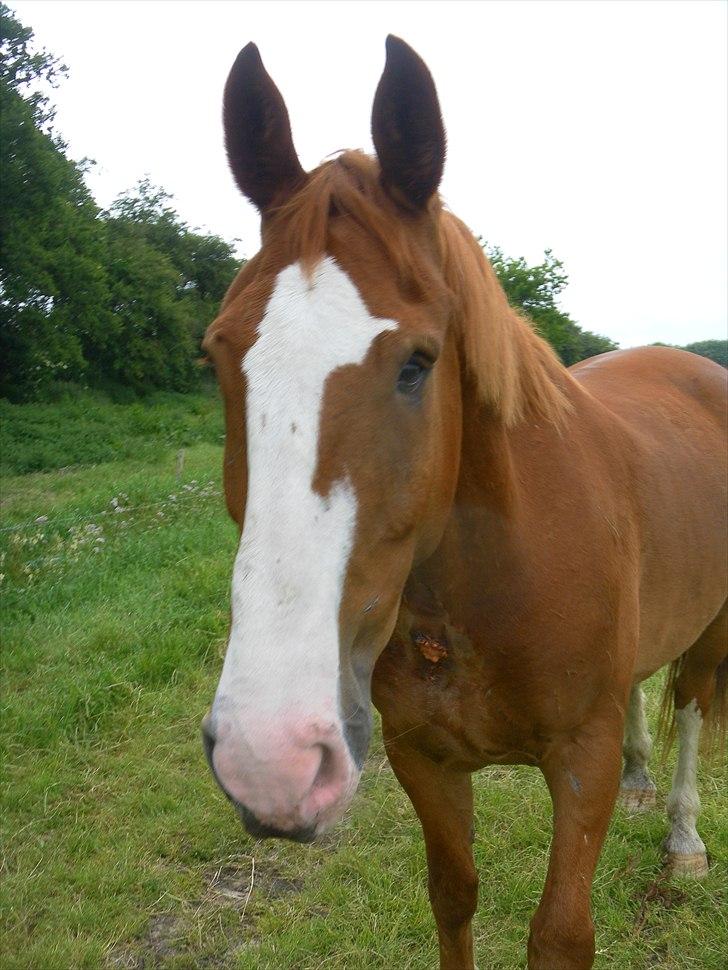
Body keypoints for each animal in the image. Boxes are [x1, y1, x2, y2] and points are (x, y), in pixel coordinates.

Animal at [200, 36, 728, 968]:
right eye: (218, 355)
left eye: (418, 362)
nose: (270, 754)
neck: (487, 587)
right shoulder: (424, 761)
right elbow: (453, 896)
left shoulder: (579, 760)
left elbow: (560, 933)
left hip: (712, 628)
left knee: (695, 707)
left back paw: (683, 839)